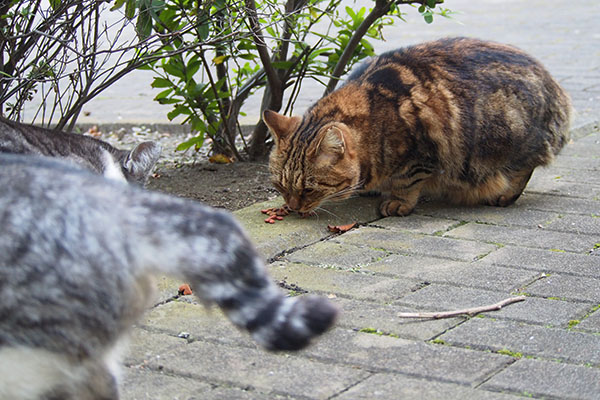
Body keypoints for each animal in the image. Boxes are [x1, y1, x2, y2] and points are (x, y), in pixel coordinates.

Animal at [264, 37, 572, 217]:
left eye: (309, 190)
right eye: (280, 186)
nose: (292, 207)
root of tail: (555, 87)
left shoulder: (418, 154)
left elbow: (407, 181)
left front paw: (397, 201)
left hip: (507, 137)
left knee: (524, 167)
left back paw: (503, 194)